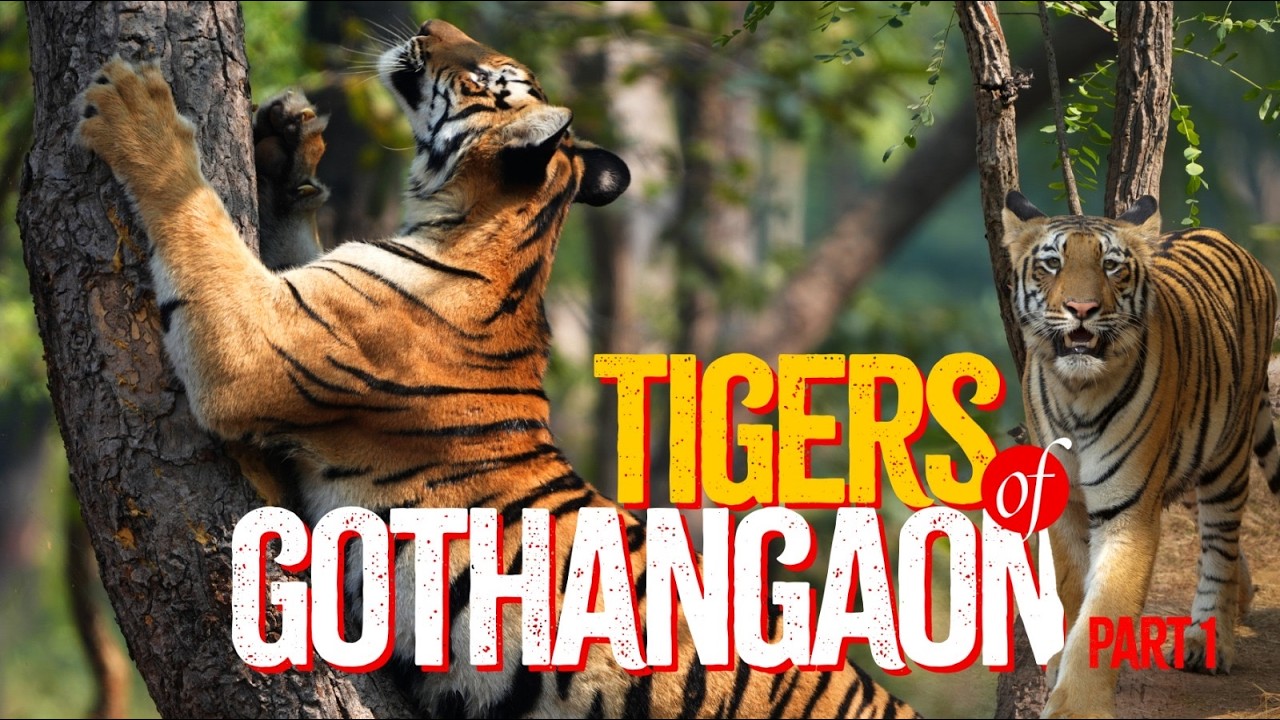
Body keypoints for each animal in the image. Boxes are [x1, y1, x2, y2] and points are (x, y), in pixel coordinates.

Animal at [75, 19, 919, 719]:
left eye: (487, 75)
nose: (427, 23)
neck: (500, 228)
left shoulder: (255, 344)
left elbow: (200, 218)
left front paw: (137, 113)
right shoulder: (297, 295)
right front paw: (286, 148)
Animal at [1001, 190, 1280, 718]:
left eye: (1111, 266)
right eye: (1052, 263)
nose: (1082, 308)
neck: (1077, 392)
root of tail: (1227, 239)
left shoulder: (1128, 513)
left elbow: (1104, 611)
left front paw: (1076, 707)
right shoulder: (1065, 506)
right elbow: (1071, 591)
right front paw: (1058, 665)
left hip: (1227, 458)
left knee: (1219, 543)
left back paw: (1208, 640)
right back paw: (1243, 596)